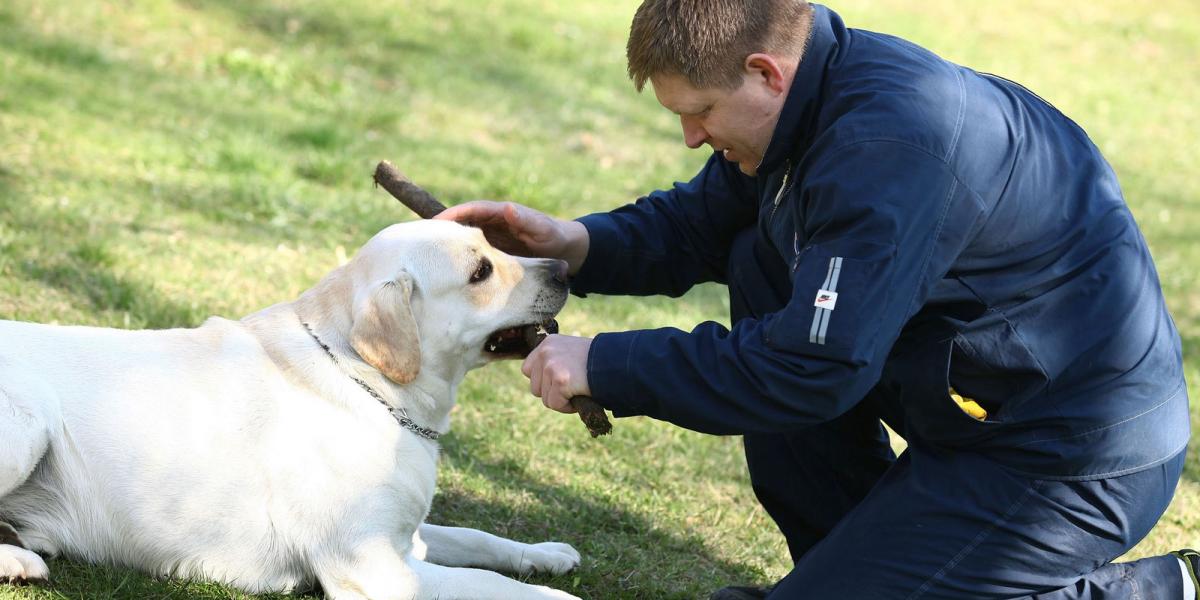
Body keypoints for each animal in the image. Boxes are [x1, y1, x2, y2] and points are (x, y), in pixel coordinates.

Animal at [0, 222, 580, 600]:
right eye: (481, 271)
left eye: (493, 243)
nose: (564, 267)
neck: (365, 382)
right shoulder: (377, 568)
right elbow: (498, 586)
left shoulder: (404, 539)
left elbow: (477, 539)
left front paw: (547, 552)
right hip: (29, 423)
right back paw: (20, 561)